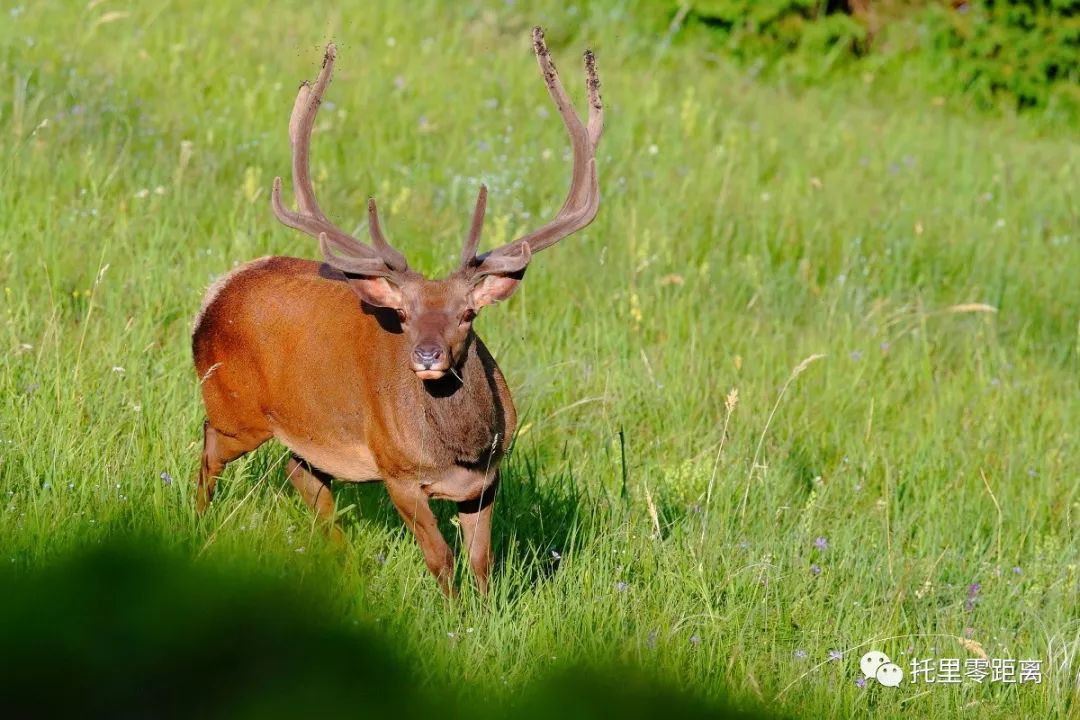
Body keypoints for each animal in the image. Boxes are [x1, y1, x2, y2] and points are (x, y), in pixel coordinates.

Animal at [191, 29, 604, 595]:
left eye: (468, 315)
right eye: (404, 315)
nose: (428, 356)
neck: (457, 451)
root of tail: (215, 293)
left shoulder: (488, 479)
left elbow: (482, 562)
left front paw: (485, 611)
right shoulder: (398, 473)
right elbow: (440, 559)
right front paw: (453, 614)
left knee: (302, 475)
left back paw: (342, 561)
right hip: (234, 408)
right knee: (210, 448)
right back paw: (197, 523)